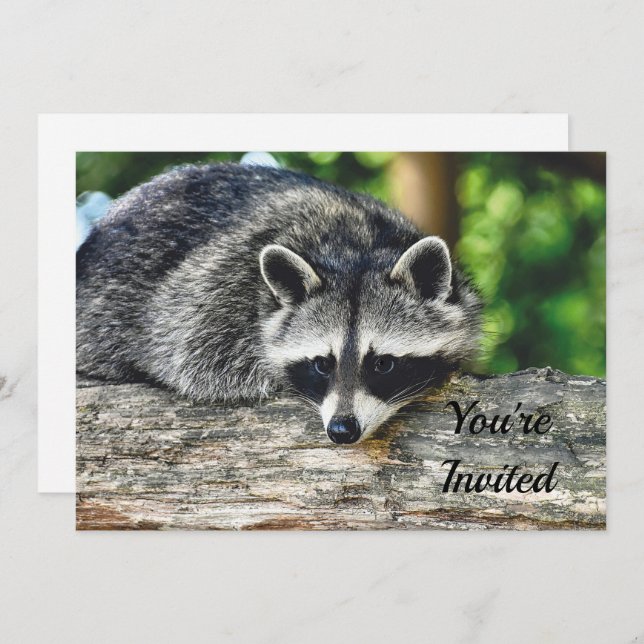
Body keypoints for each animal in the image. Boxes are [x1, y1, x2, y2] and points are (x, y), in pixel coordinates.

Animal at [77, 162, 481, 444]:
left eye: (383, 363)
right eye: (322, 364)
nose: (342, 430)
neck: (358, 246)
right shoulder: (211, 294)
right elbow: (190, 359)